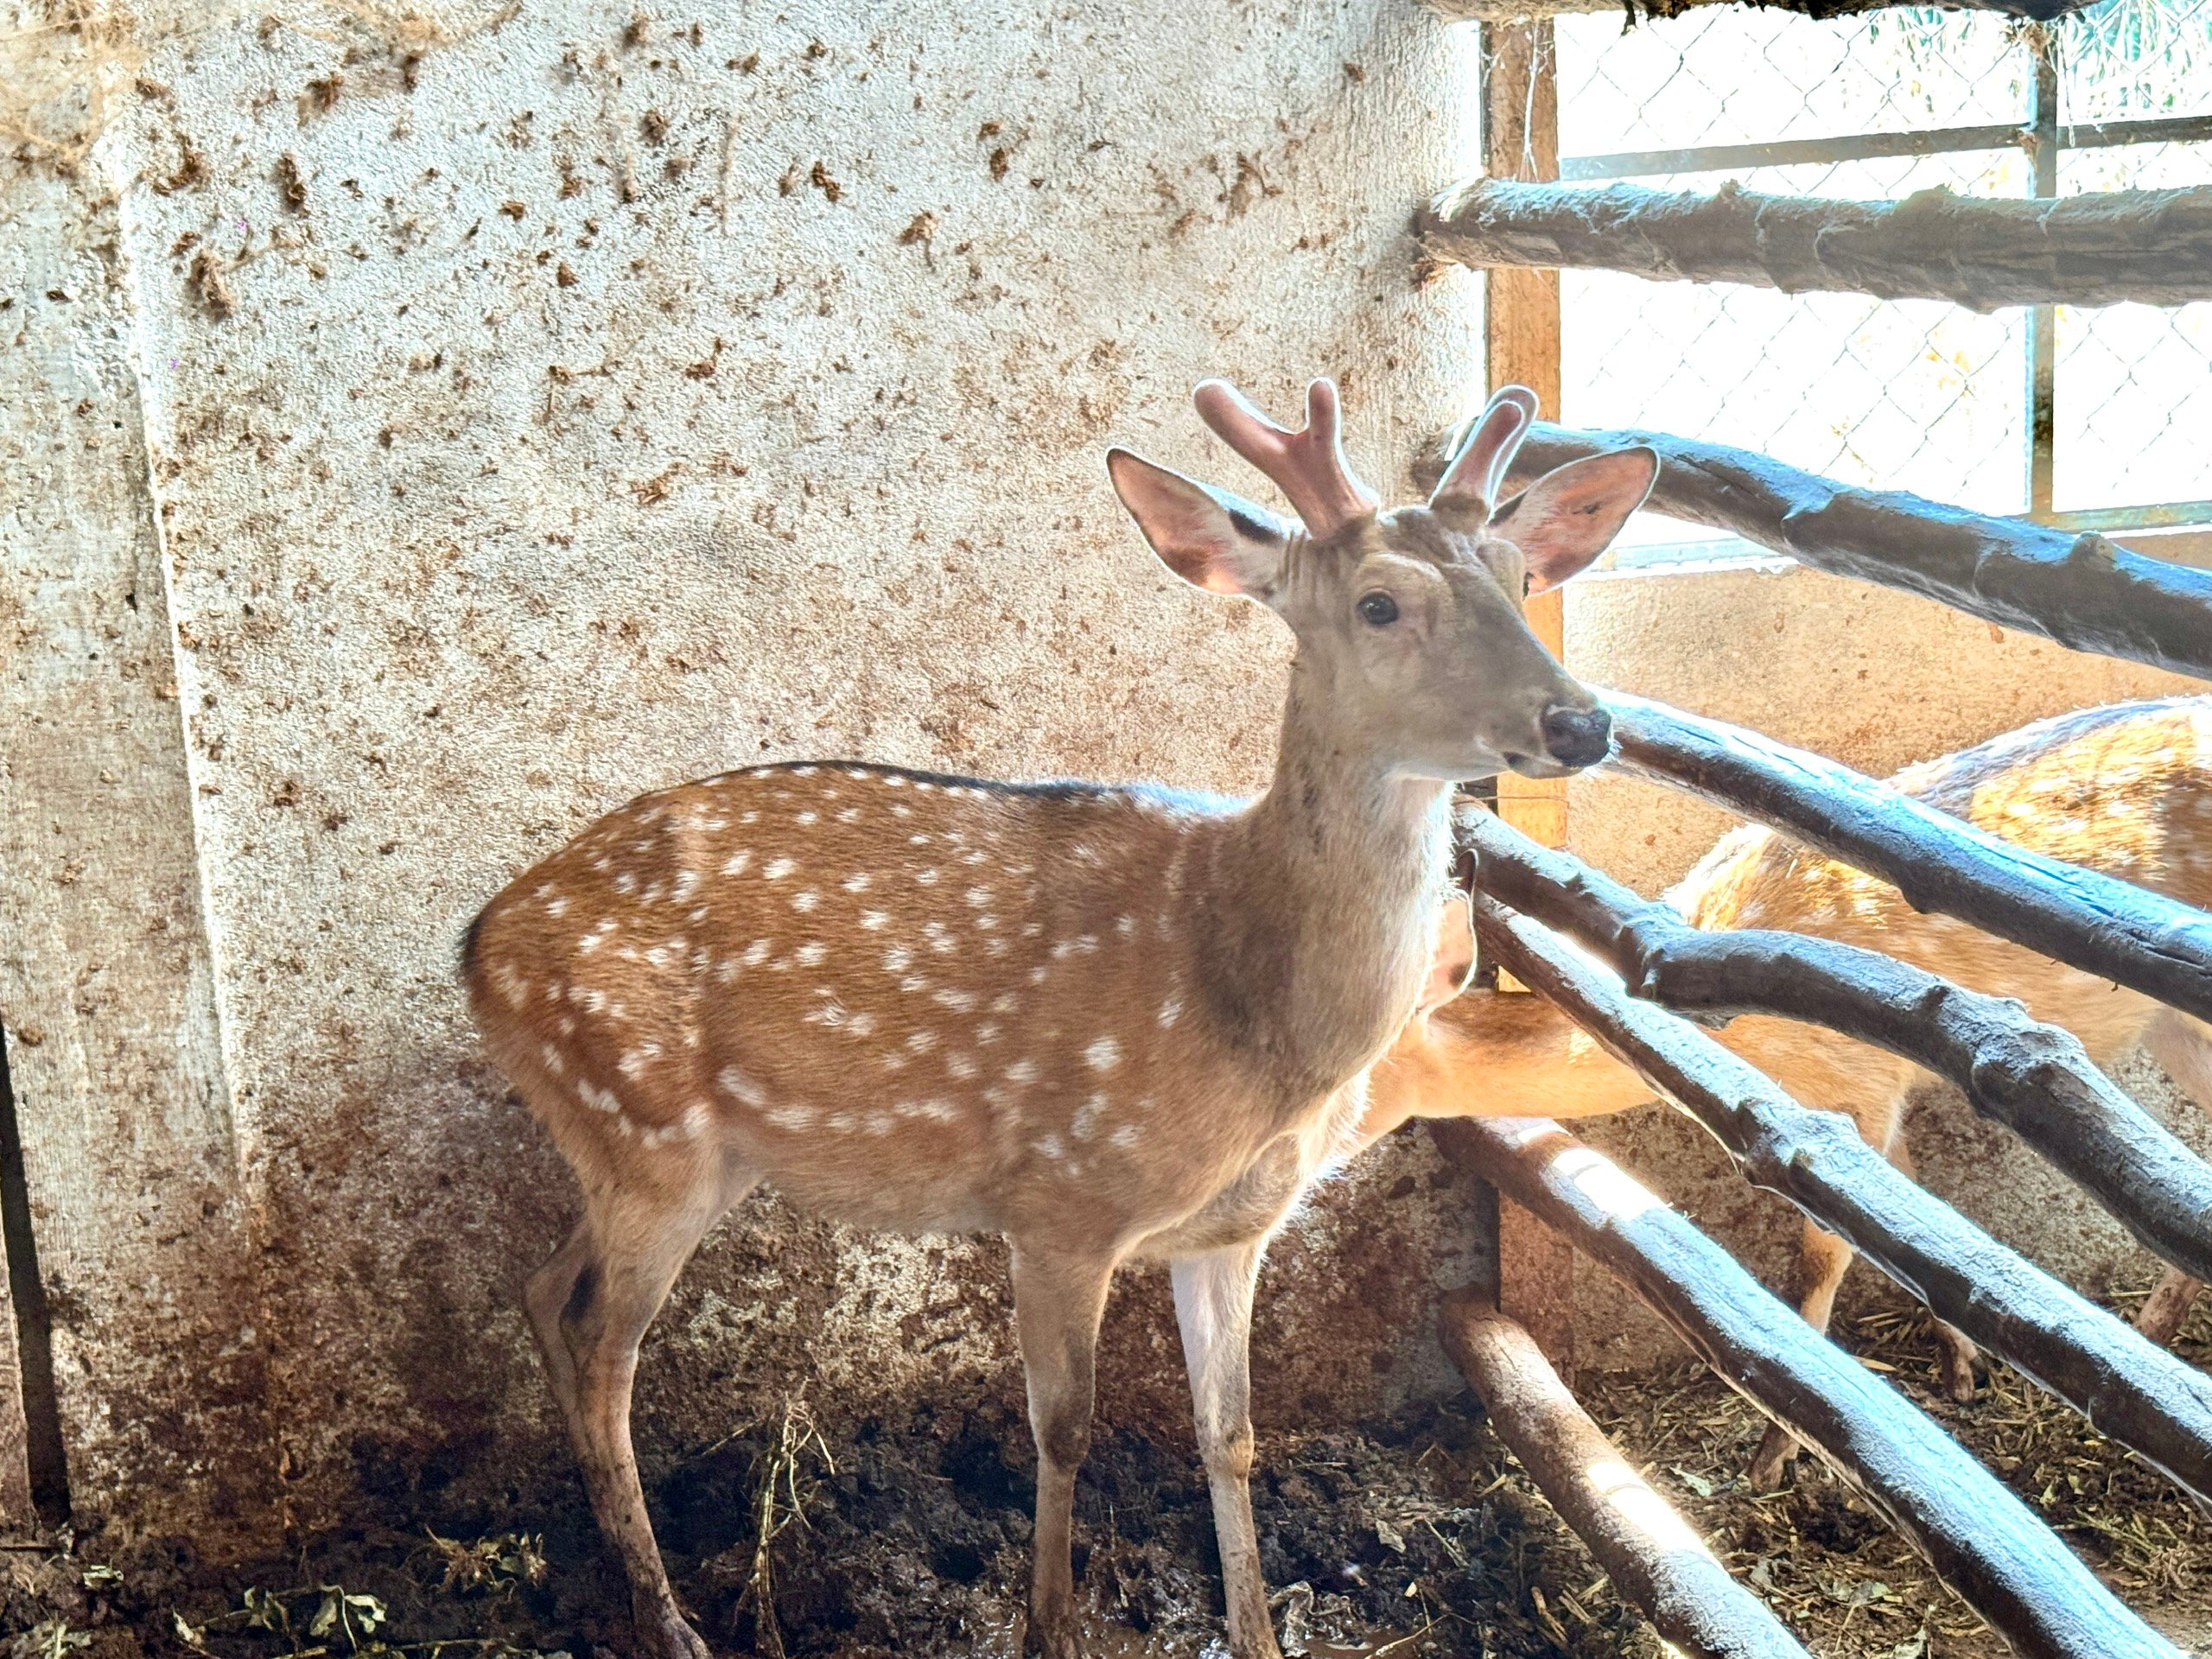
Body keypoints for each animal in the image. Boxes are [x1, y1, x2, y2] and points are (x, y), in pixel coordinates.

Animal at [467, 376, 1663, 1659]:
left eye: (1522, 577)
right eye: (1379, 603)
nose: (1582, 723)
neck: (1252, 1014)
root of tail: (478, 947)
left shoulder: (1233, 1228)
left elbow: (1231, 1434)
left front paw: (1257, 1631)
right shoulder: (1058, 1199)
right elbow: (1065, 1427)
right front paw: (1050, 1623)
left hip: (657, 1153)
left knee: (545, 1293)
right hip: (647, 1132)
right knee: (605, 1347)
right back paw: (670, 1621)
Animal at [1353, 703, 2212, 1495]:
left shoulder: (1855, 1091)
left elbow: (1822, 1259)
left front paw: (1774, 1455)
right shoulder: (1873, 1101)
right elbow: (1917, 1213)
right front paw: (1962, 1368)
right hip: (2172, 1025)